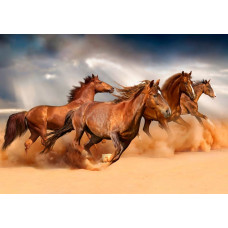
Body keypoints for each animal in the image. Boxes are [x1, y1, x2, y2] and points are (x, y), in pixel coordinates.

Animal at [43, 79, 171, 164]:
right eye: (154, 95)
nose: (168, 111)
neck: (127, 113)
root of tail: (77, 109)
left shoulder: (128, 140)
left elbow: (118, 154)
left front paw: (105, 159)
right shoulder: (113, 134)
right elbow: (117, 149)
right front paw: (106, 158)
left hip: (97, 137)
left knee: (86, 145)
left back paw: (92, 159)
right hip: (80, 129)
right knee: (76, 143)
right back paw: (86, 157)